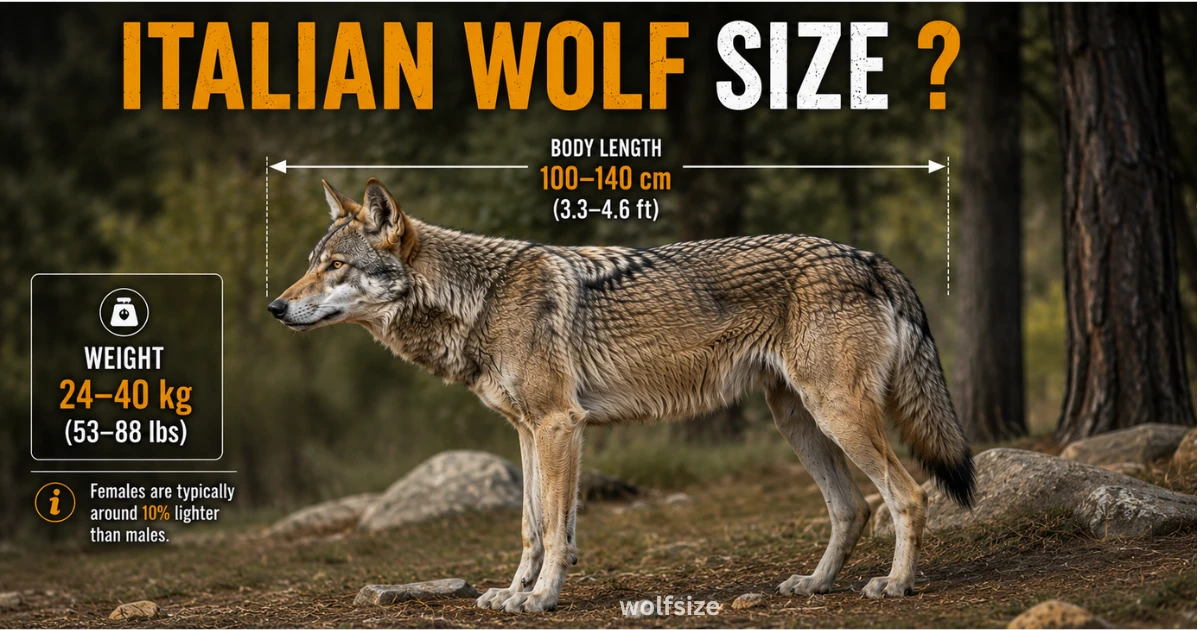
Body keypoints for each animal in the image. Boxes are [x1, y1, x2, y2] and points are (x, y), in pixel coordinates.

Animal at [269, 178, 976, 612]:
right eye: (311, 263)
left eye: (335, 266)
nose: (275, 307)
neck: (478, 299)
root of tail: (869, 257)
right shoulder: (526, 431)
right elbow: (531, 528)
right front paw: (513, 593)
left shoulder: (559, 424)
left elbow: (555, 532)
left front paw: (541, 598)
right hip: (797, 421)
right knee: (851, 507)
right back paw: (815, 586)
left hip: (836, 414)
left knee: (907, 495)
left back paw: (896, 584)